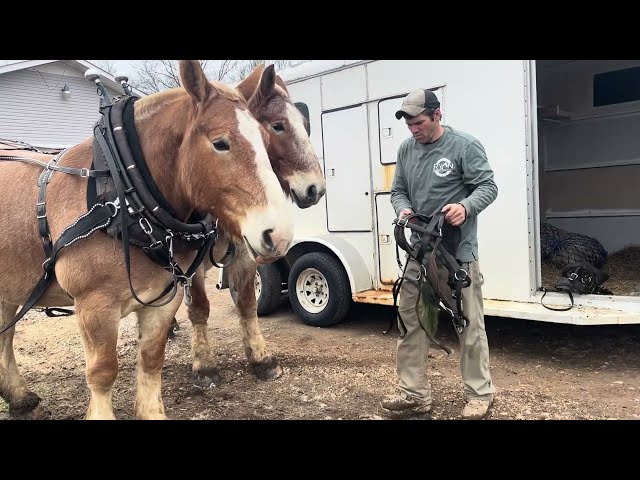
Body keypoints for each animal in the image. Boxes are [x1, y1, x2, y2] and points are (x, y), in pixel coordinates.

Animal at [0, 60, 294, 420]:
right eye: (220, 143)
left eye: (266, 137)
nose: (279, 234)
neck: (122, 194)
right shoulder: (95, 305)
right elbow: (103, 372)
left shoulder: (164, 299)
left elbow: (152, 361)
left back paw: (17, 396)